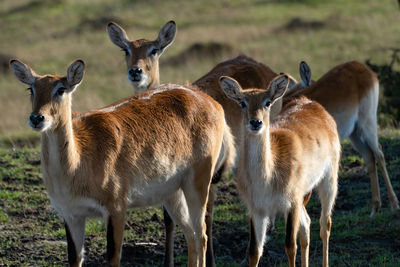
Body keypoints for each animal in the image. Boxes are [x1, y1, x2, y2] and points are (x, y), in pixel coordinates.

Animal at [9, 59, 236, 267]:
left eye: (61, 89)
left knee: (201, 234)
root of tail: (211, 102)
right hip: (172, 193)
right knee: (190, 234)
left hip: (198, 182)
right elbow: (75, 258)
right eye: (31, 88)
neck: (77, 166)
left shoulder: (116, 207)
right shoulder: (72, 214)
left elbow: (113, 257)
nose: (37, 118)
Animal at [219, 74, 340, 267]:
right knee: (306, 226)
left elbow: (290, 246)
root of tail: (312, 103)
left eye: (267, 102)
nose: (255, 122)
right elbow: (254, 251)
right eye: (242, 102)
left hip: (329, 179)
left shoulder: (291, 202)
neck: (267, 179)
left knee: (325, 224)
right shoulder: (257, 209)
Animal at [286, 60, 398, 218]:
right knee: (369, 157)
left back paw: (394, 205)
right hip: (355, 133)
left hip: (367, 123)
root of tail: (362, 67)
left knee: (379, 155)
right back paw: (374, 209)